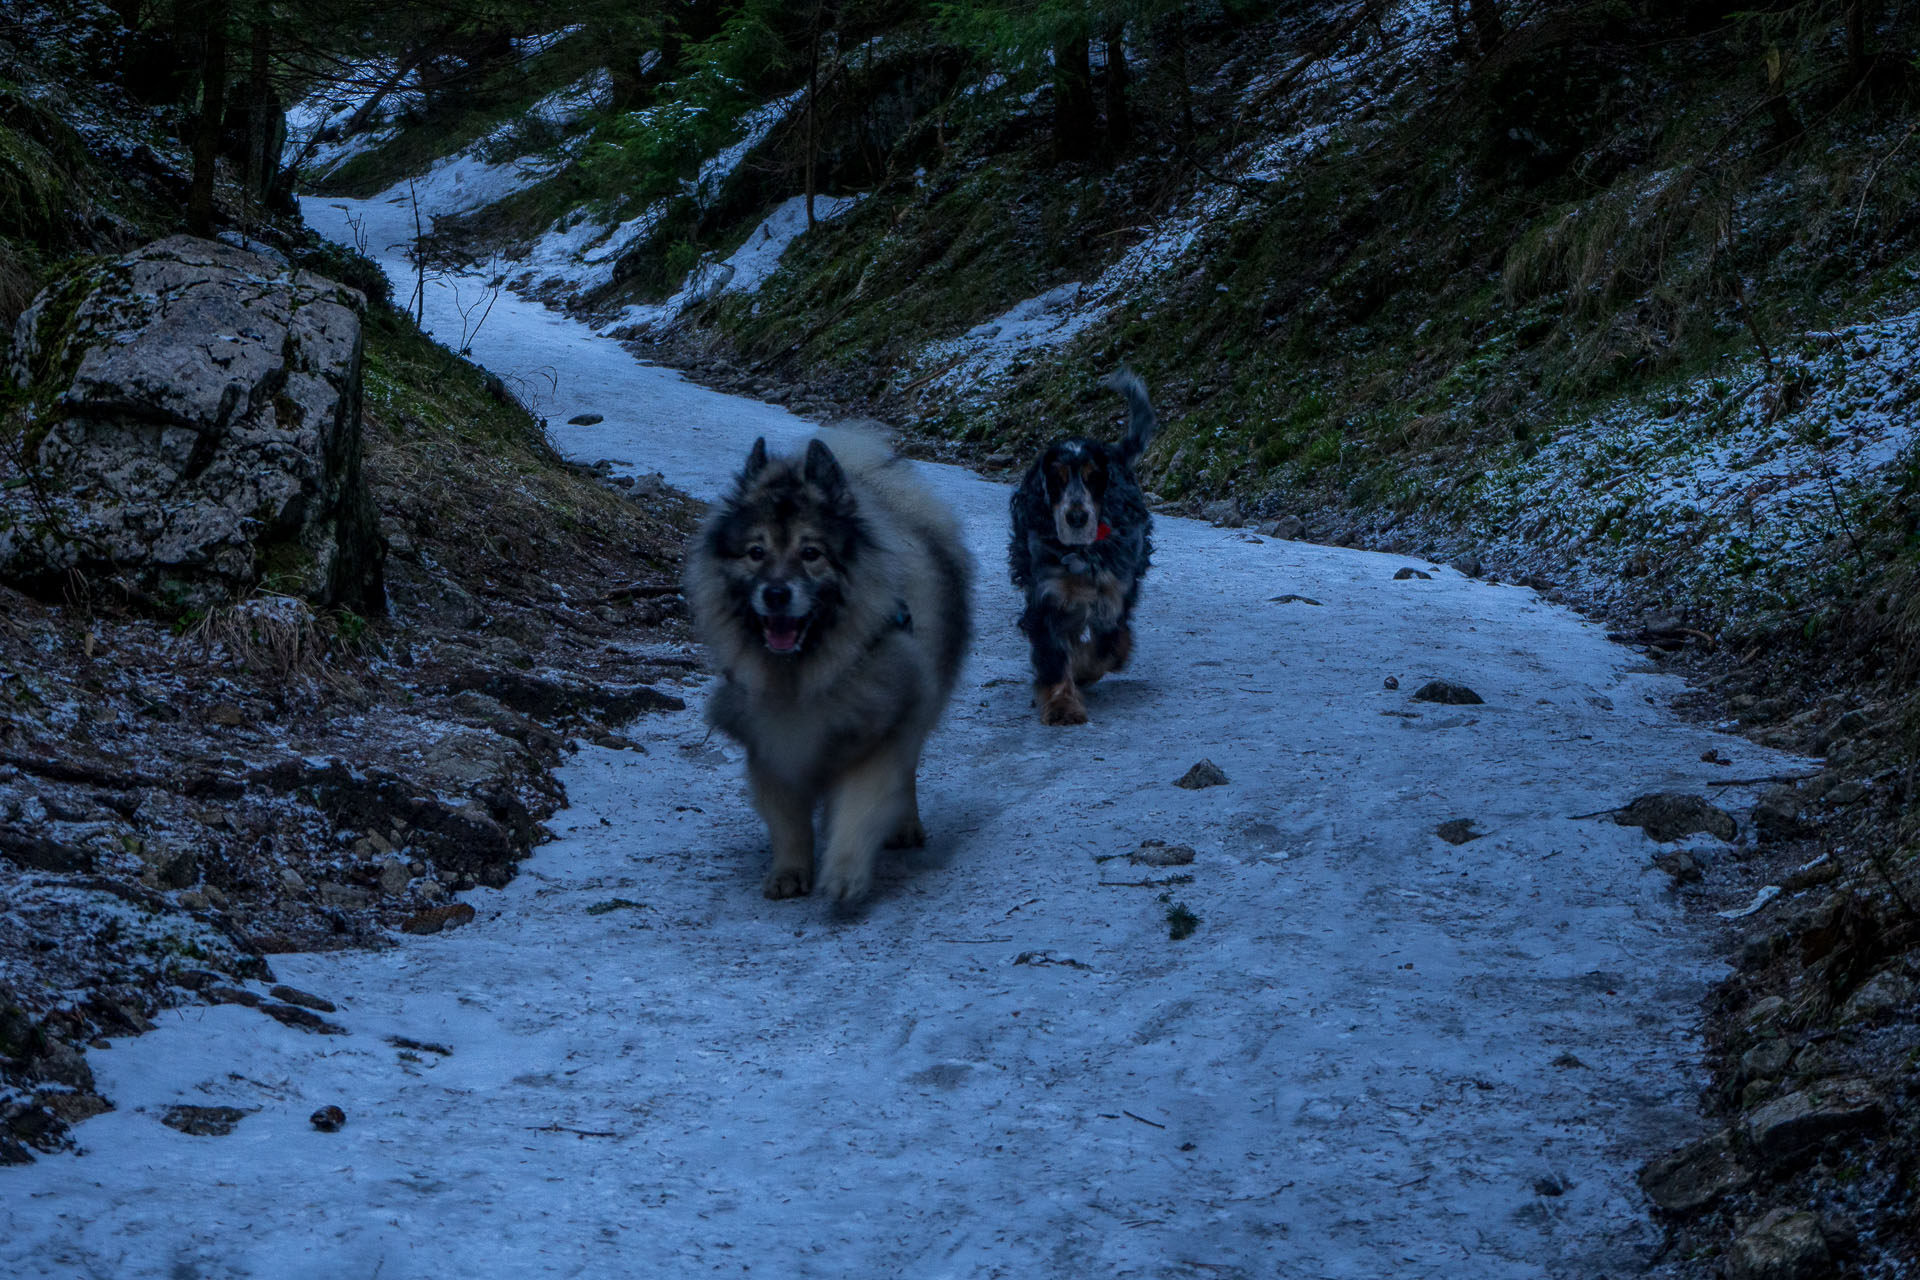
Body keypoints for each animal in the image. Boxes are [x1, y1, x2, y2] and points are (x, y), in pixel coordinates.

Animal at [1006, 372, 1152, 729]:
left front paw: (1083, 670)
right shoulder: (1048, 598)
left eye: (1094, 477)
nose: (1076, 516)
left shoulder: (1114, 596)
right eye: (1056, 479)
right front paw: (1062, 706)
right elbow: (1054, 657)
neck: (1082, 552)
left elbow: (1108, 648)